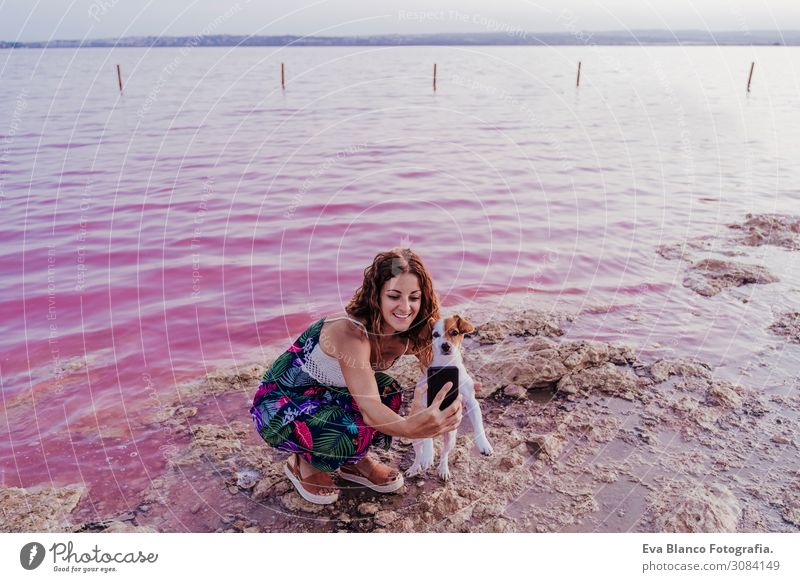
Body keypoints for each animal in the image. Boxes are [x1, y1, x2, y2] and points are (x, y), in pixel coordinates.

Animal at [410, 318, 490, 482]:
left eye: (454, 332)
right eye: (435, 334)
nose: (445, 345)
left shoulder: (472, 402)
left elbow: (479, 425)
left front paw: (483, 444)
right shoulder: (427, 405)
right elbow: (426, 445)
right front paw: (428, 455)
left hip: (451, 438)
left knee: (444, 453)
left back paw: (443, 469)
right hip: (415, 438)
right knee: (418, 452)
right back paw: (416, 466)